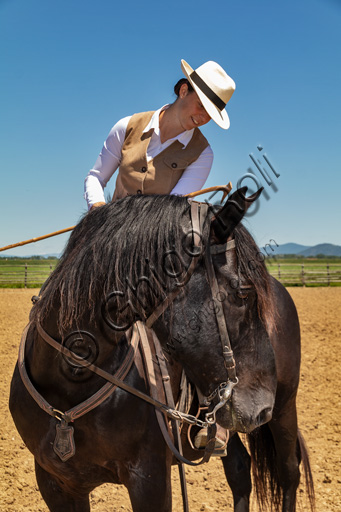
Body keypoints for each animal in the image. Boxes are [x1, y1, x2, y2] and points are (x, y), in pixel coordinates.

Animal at [8, 190, 314, 510]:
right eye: (243, 293)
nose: (261, 407)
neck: (71, 379)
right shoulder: (56, 482)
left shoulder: (150, 478)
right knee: (240, 469)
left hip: (285, 404)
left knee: (288, 471)